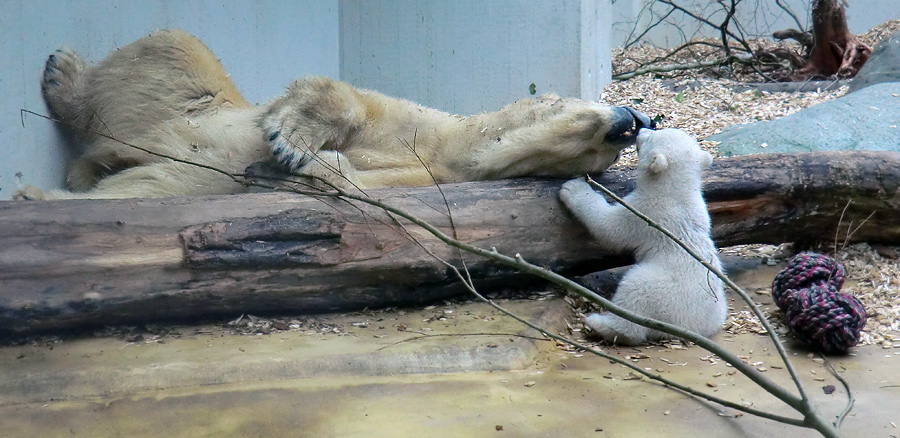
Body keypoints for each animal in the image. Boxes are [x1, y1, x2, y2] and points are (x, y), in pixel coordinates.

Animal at [26, 30, 648, 200]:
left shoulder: (421, 176)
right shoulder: (417, 127)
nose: (633, 117)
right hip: (178, 92)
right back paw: (62, 74)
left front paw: (283, 170)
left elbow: (353, 182)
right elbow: (348, 98)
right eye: (586, 118)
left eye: (601, 155)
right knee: (169, 52)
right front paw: (289, 139)